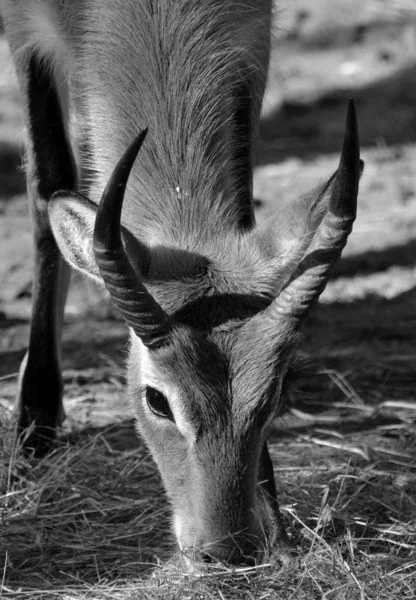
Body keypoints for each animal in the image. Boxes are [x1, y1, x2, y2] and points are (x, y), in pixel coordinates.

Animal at [0, 0, 360, 568]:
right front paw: (34, 424)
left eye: (277, 393)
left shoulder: (250, 38)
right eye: (156, 400)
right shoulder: (24, 29)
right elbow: (47, 185)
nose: (226, 548)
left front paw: (277, 528)